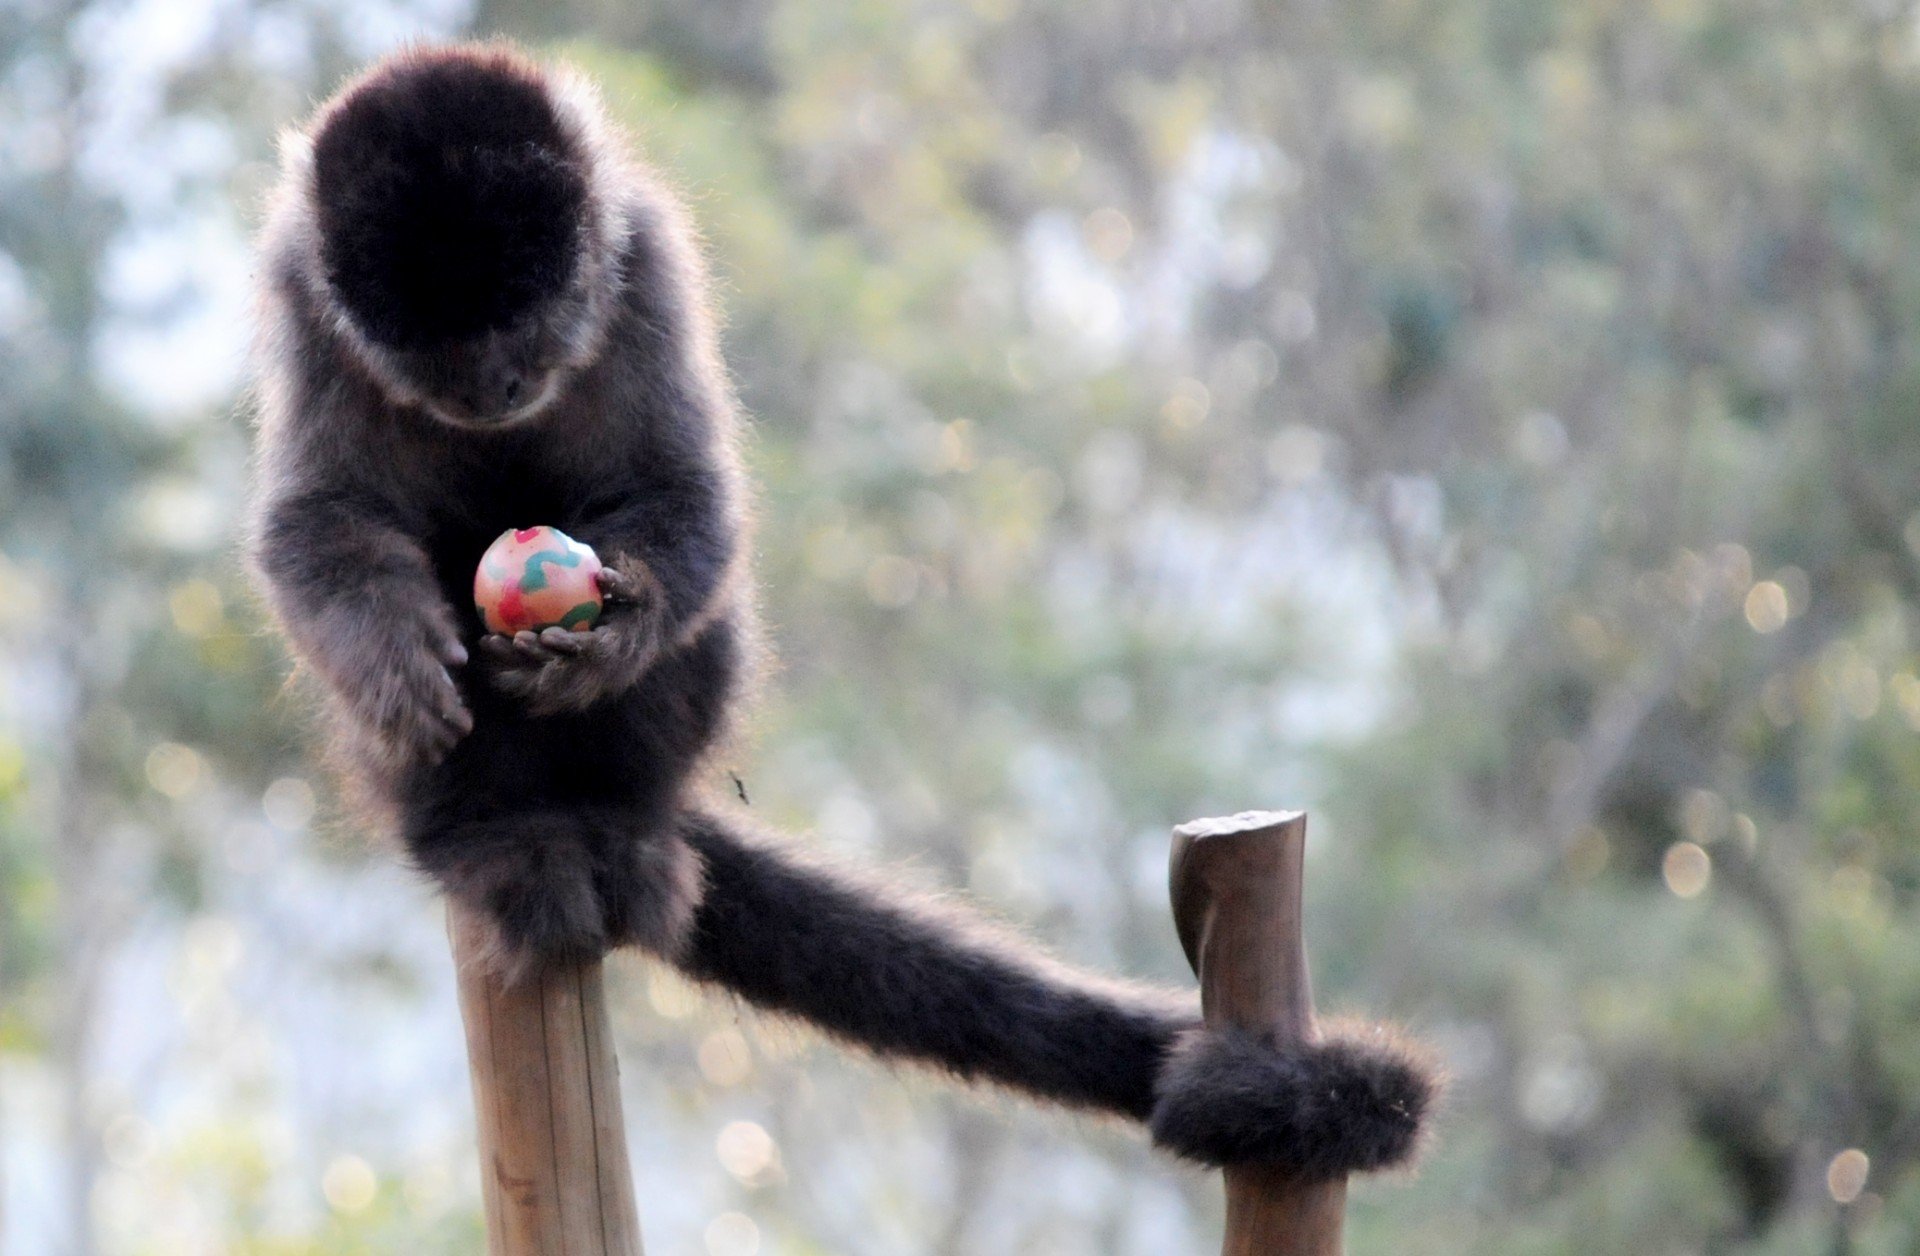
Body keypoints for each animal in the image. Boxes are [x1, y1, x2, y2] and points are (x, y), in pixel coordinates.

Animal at [243, 39, 1443, 1183]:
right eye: (441, 348)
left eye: (523, 325)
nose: (490, 385)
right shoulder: (303, 300)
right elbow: (316, 522)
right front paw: (393, 656)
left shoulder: (644, 259)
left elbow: (685, 486)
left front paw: (619, 636)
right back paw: (493, 840)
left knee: (701, 633)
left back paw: (619, 824)